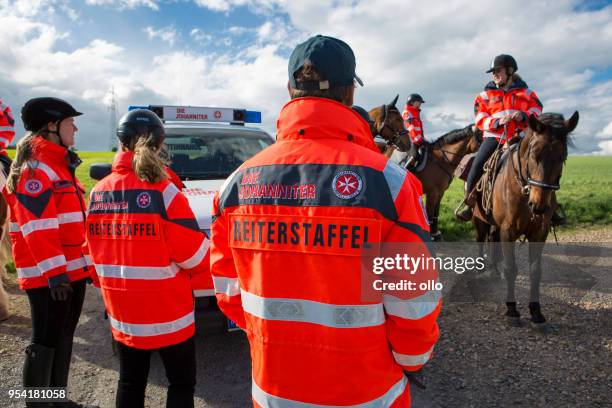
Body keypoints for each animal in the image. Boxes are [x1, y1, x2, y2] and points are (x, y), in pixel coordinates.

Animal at [474, 111, 580, 328]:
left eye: (562, 157)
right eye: (534, 154)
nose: (538, 205)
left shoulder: (540, 232)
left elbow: (535, 271)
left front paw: (536, 312)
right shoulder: (508, 231)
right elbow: (511, 268)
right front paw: (512, 310)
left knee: (492, 241)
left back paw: (493, 269)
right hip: (480, 220)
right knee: (481, 239)